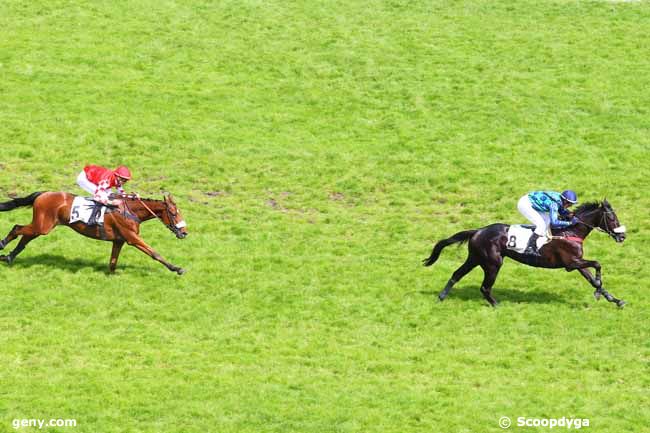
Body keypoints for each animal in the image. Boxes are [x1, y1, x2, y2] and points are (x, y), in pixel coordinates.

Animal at [0, 192, 187, 274]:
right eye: (174, 213)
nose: (184, 232)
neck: (130, 211)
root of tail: (43, 194)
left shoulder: (118, 240)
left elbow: (113, 262)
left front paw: (111, 275)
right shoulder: (132, 238)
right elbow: (154, 253)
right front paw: (177, 268)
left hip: (42, 225)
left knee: (25, 236)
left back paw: (8, 257)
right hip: (43, 225)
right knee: (17, 228)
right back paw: (2, 246)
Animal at [422, 200, 624, 306]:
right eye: (612, 217)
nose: (622, 236)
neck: (570, 231)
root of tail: (477, 230)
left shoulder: (577, 262)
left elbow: (593, 279)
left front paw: (614, 299)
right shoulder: (571, 263)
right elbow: (597, 264)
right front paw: (599, 293)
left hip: (475, 258)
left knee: (457, 274)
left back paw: (441, 297)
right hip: (493, 262)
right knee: (485, 287)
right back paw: (497, 305)